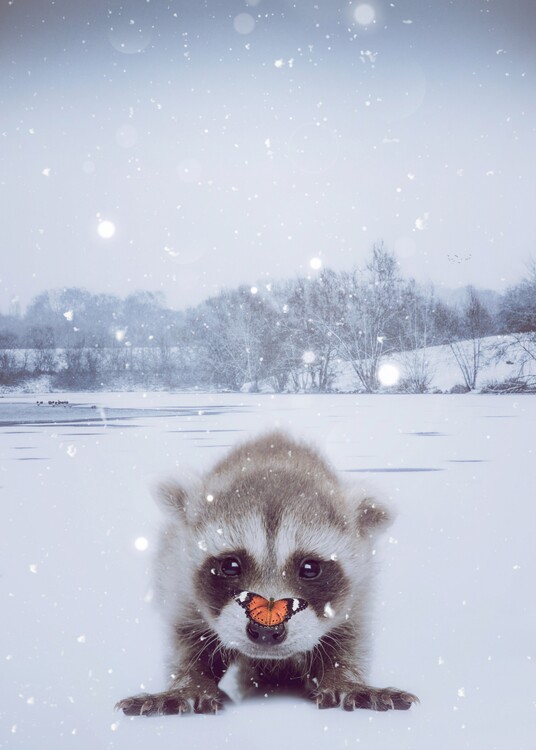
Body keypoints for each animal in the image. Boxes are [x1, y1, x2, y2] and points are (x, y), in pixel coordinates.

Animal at [116, 431, 418, 715]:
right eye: (230, 566)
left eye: (310, 568)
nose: (265, 630)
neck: (274, 458)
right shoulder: (176, 578)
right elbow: (186, 637)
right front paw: (190, 684)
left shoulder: (359, 594)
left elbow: (349, 639)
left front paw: (345, 679)